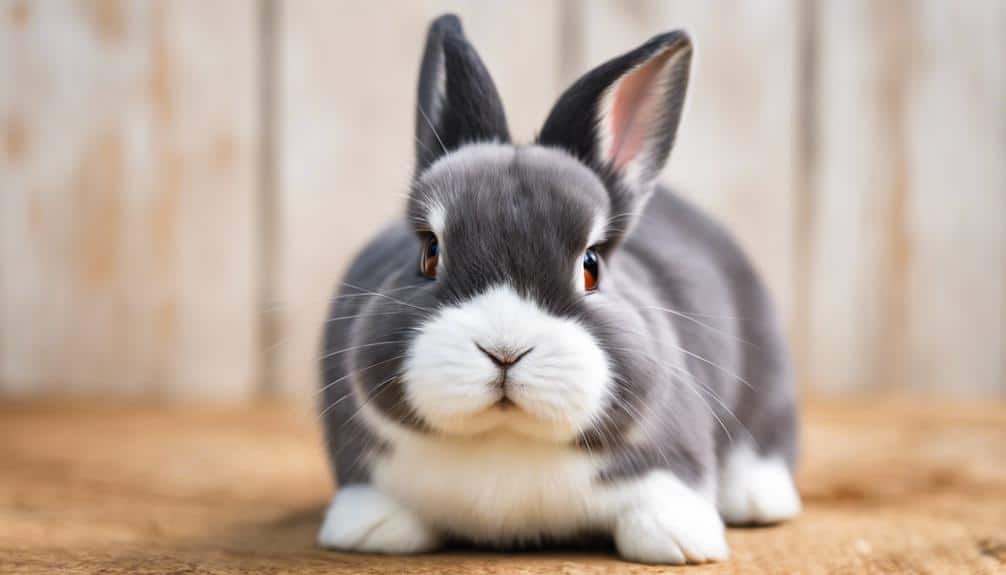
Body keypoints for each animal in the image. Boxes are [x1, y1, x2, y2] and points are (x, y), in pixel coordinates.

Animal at [317, 14, 800, 565]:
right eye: (429, 253)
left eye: (591, 266)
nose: (505, 350)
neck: (505, 441)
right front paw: (370, 529)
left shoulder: (673, 451)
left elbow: (664, 497)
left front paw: (680, 542)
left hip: (767, 376)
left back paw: (758, 498)